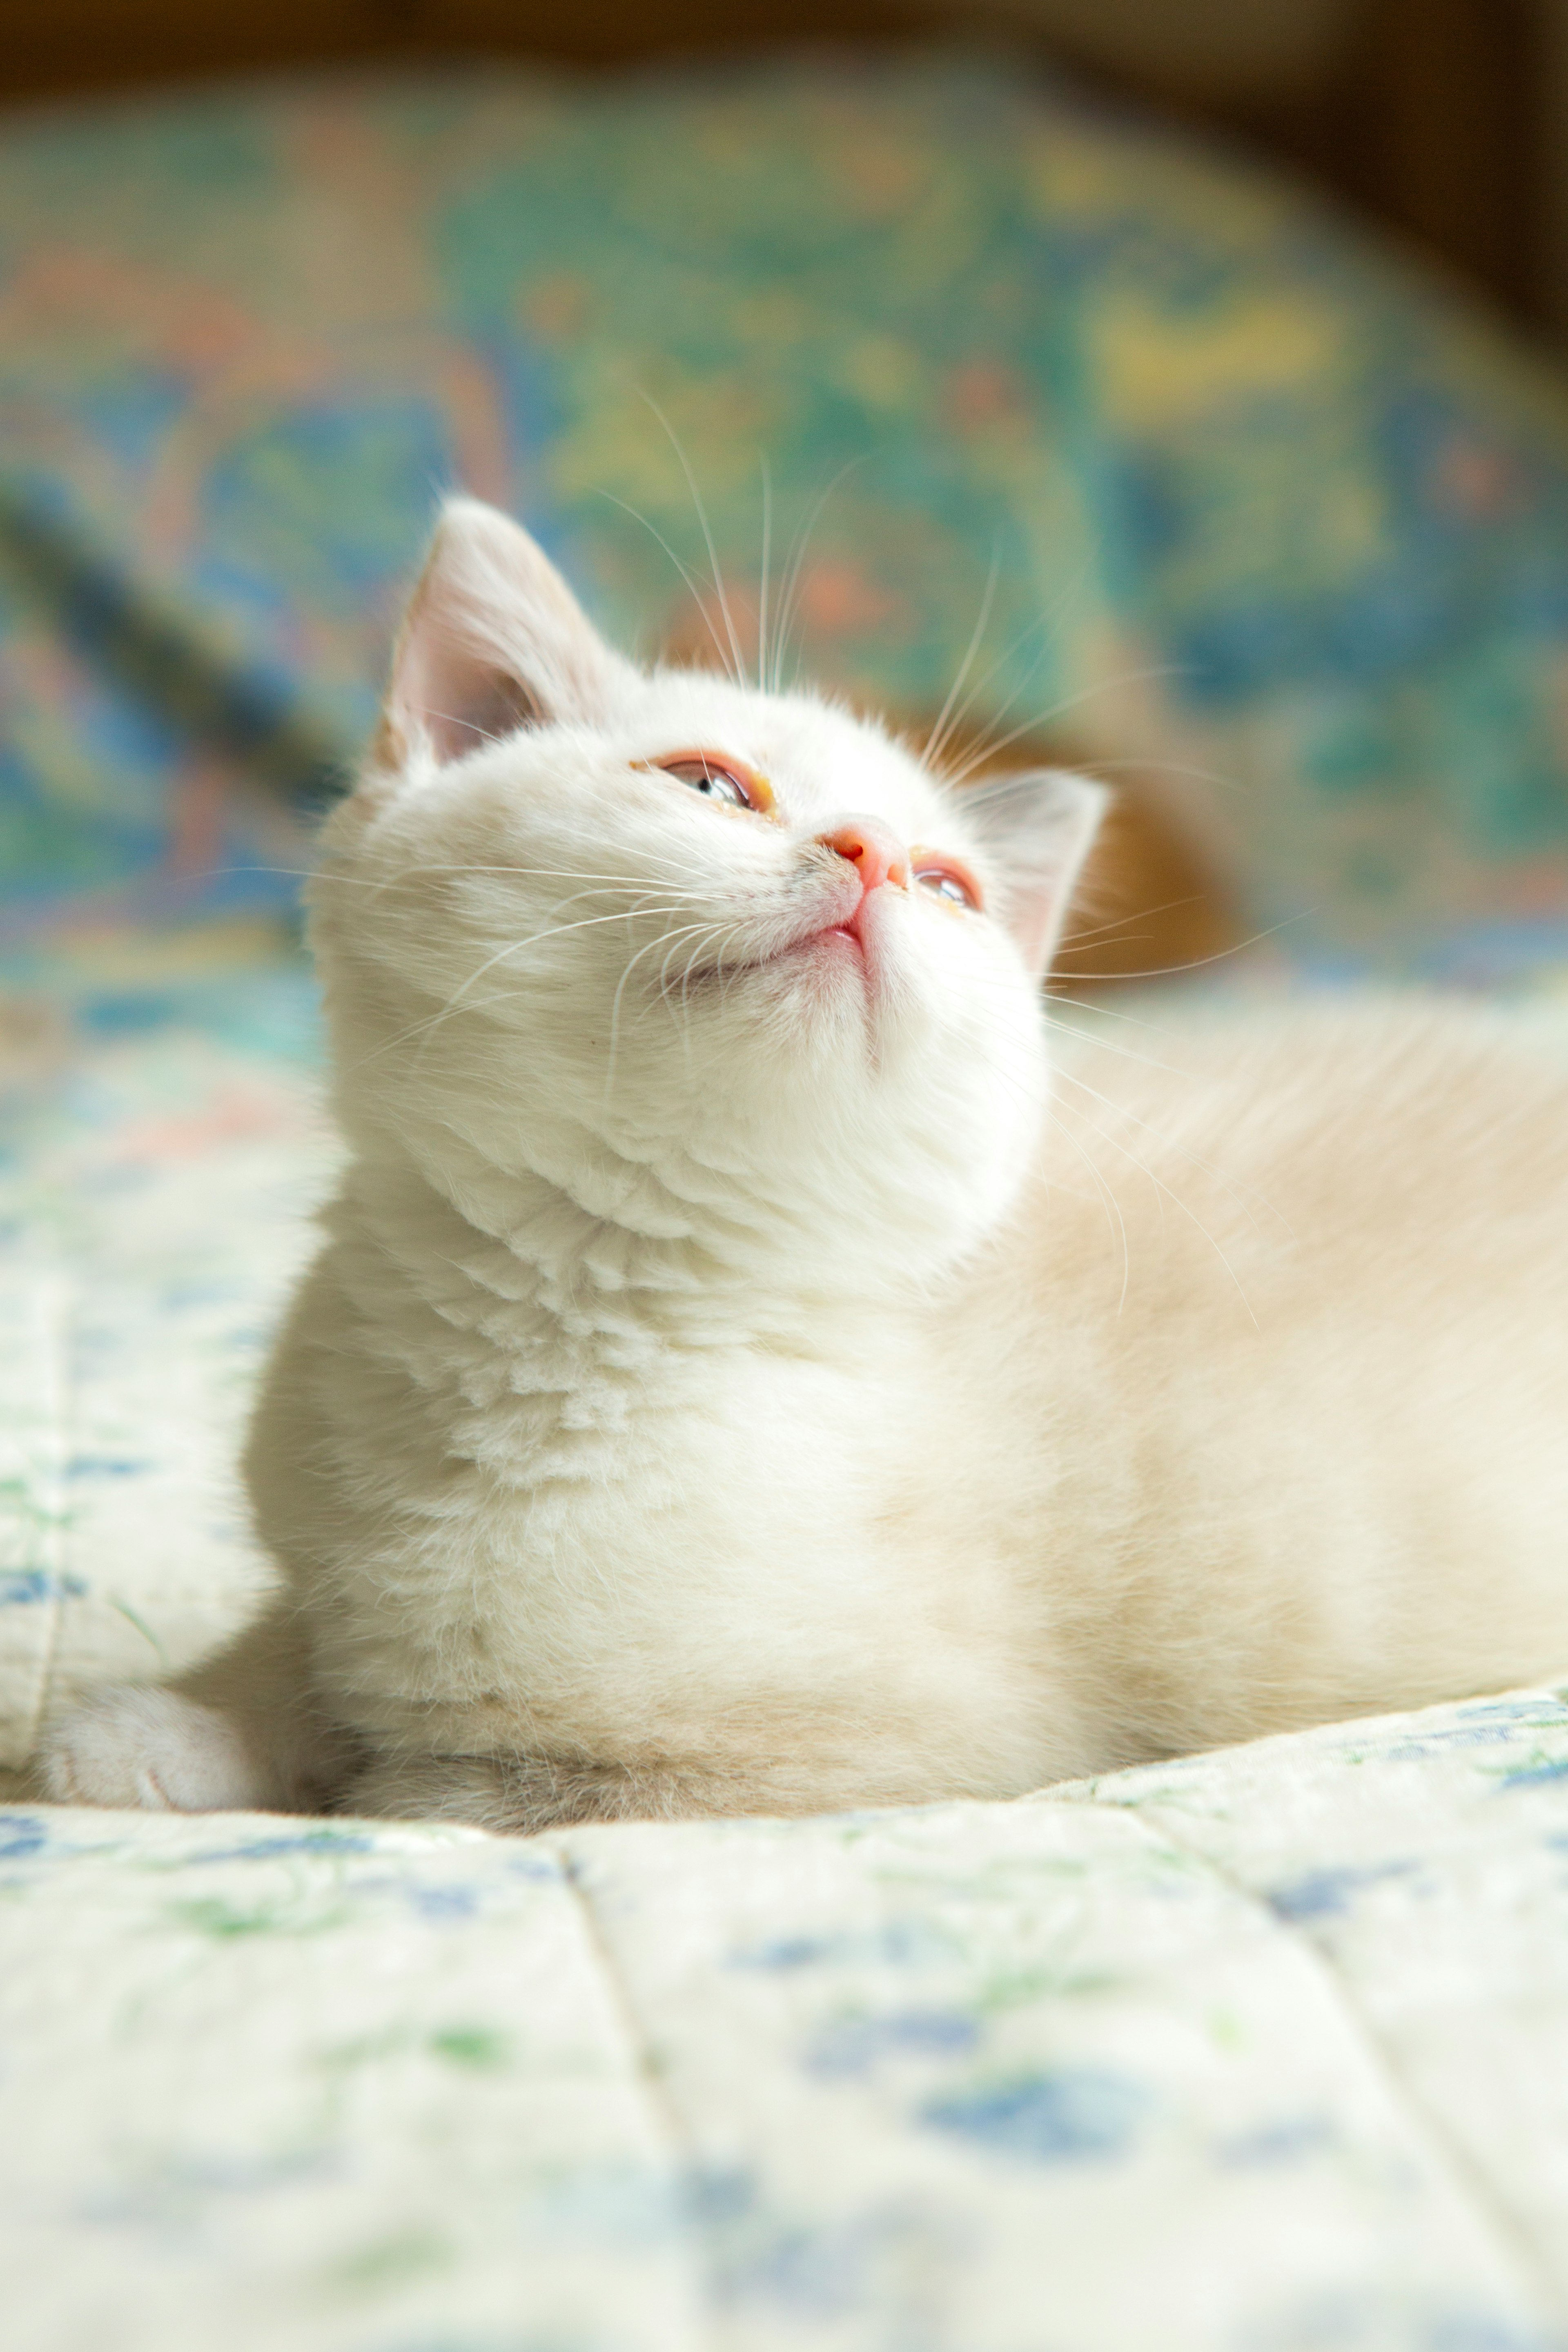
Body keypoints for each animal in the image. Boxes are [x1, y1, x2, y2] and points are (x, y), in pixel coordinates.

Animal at [43, 491, 1568, 1815]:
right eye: (710, 784)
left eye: (949, 889)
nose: (875, 856)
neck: (577, 1322)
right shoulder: (325, 1546)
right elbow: (309, 1642)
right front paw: (162, 1729)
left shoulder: (902, 1748)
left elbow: (449, 1779)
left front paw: (310, 1753)